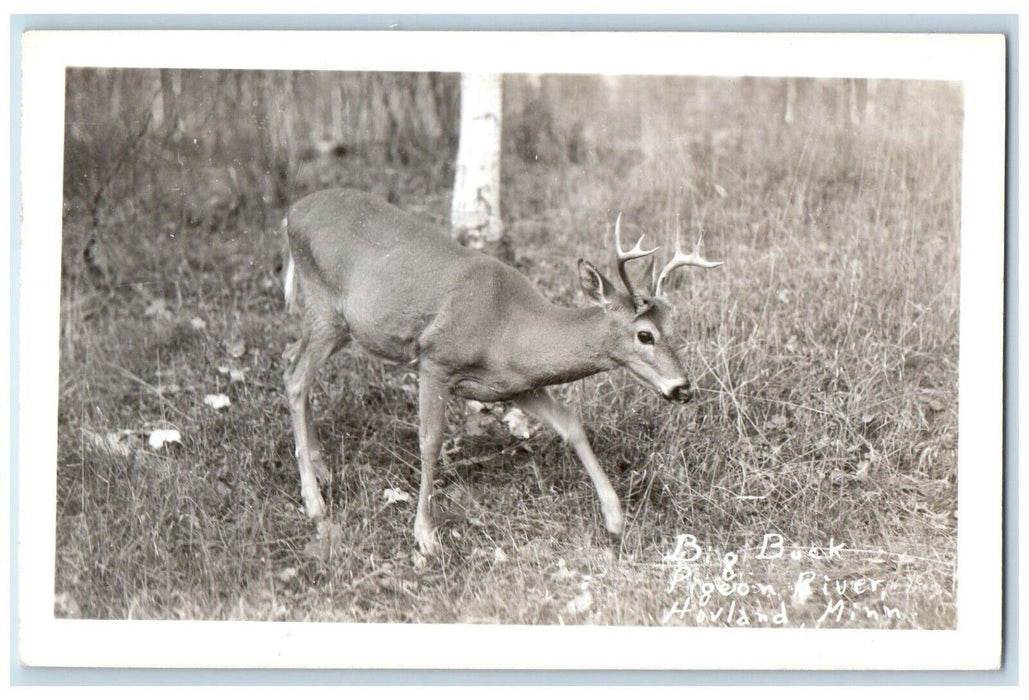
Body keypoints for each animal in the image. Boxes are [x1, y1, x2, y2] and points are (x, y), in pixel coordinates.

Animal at [282, 188, 722, 555]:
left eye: (672, 325)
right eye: (645, 334)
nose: (683, 387)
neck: (508, 328)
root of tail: (290, 213)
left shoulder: (519, 386)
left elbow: (571, 425)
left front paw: (615, 517)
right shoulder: (435, 359)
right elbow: (430, 441)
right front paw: (425, 534)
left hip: (340, 326)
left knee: (291, 361)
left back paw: (321, 468)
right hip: (325, 307)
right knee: (297, 378)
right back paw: (314, 502)